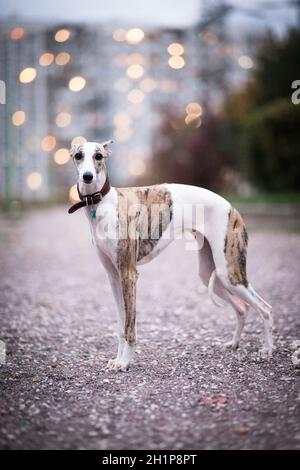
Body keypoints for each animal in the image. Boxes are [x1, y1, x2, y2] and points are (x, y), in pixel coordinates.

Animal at [69, 140, 274, 370]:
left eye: (98, 156)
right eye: (78, 155)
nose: (87, 176)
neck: (103, 203)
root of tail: (231, 207)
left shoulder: (128, 274)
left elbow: (130, 326)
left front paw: (125, 362)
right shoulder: (114, 276)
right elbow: (121, 324)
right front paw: (117, 360)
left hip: (229, 272)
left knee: (265, 309)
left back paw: (267, 350)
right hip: (209, 273)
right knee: (242, 308)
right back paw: (234, 343)